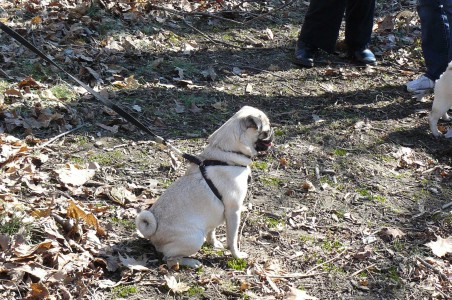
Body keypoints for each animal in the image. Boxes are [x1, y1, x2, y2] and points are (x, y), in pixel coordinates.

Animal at [135, 105, 272, 268]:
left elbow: (212, 231)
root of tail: (153, 235)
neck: (224, 154)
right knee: (169, 259)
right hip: (194, 239)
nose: (272, 134)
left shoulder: (216, 213)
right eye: (266, 132)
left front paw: (213, 243)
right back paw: (191, 262)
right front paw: (237, 256)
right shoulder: (233, 211)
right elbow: (232, 240)